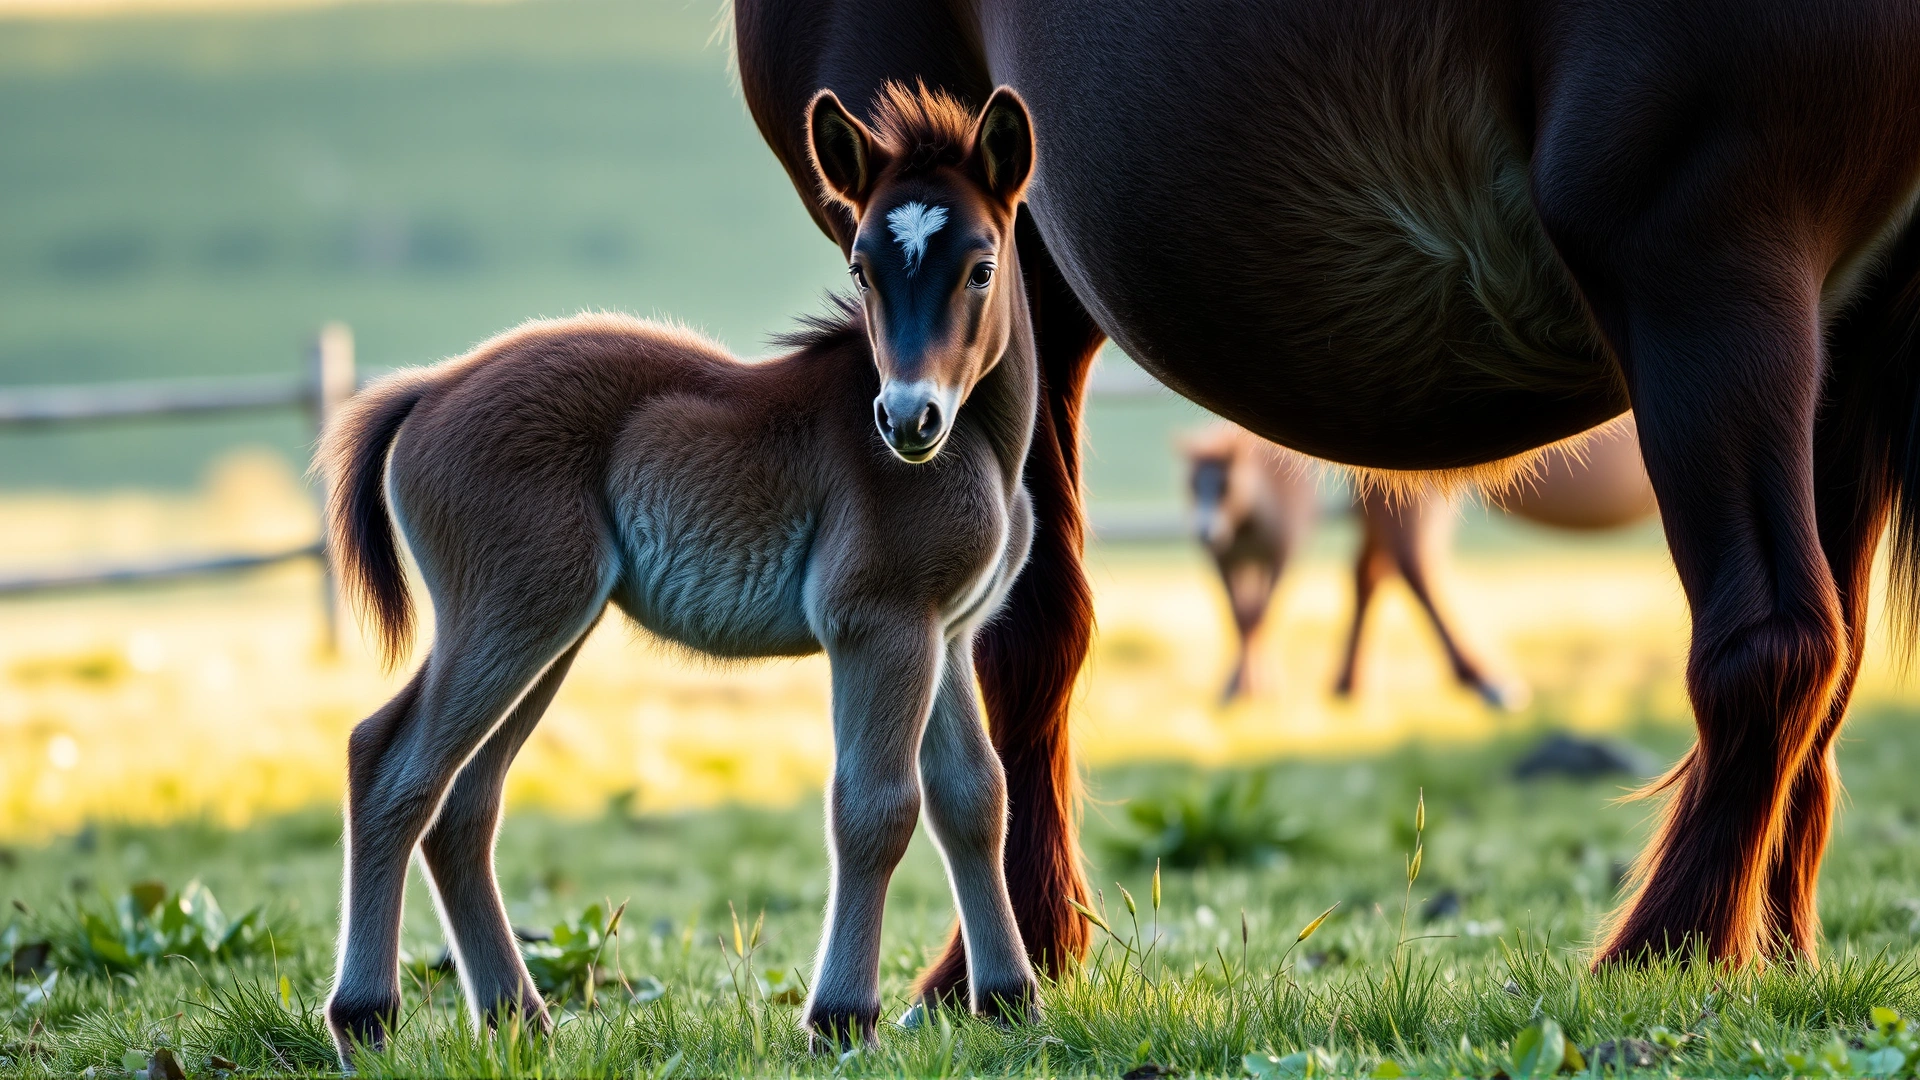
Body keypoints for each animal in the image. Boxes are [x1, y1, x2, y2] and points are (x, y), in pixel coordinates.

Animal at [318, 85, 1044, 1055]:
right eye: (862, 268)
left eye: (980, 266)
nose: (906, 419)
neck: (981, 448)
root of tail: (431, 387)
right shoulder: (882, 625)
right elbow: (875, 809)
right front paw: (840, 1017)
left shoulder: (948, 636)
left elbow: (974, 799)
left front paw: (1010, 1001)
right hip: (513, 617)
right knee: (391, 766)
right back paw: (365, 1015)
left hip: (550, 631)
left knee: (463, 806)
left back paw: (520, 1018)